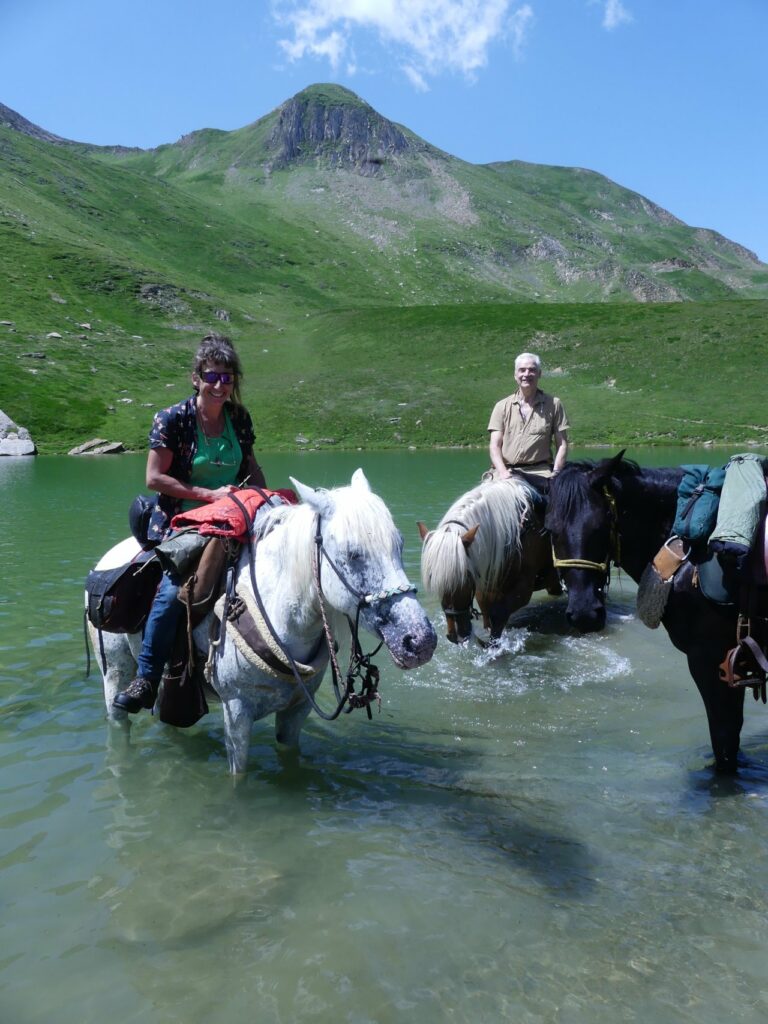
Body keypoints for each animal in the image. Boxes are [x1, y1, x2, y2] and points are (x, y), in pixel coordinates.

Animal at [88, 468, 438, 770]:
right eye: (353, 554)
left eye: (399, 545)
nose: (419, 641)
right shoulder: (237, 712)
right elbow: (238, 777)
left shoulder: (297, 710)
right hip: (116, 670)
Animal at [421, 477, 565, 643]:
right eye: (432, 576)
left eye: (466, 575)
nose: (456, 634)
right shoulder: (485, 590)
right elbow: (488, 617)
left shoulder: (522, 589)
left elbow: (498, 615)